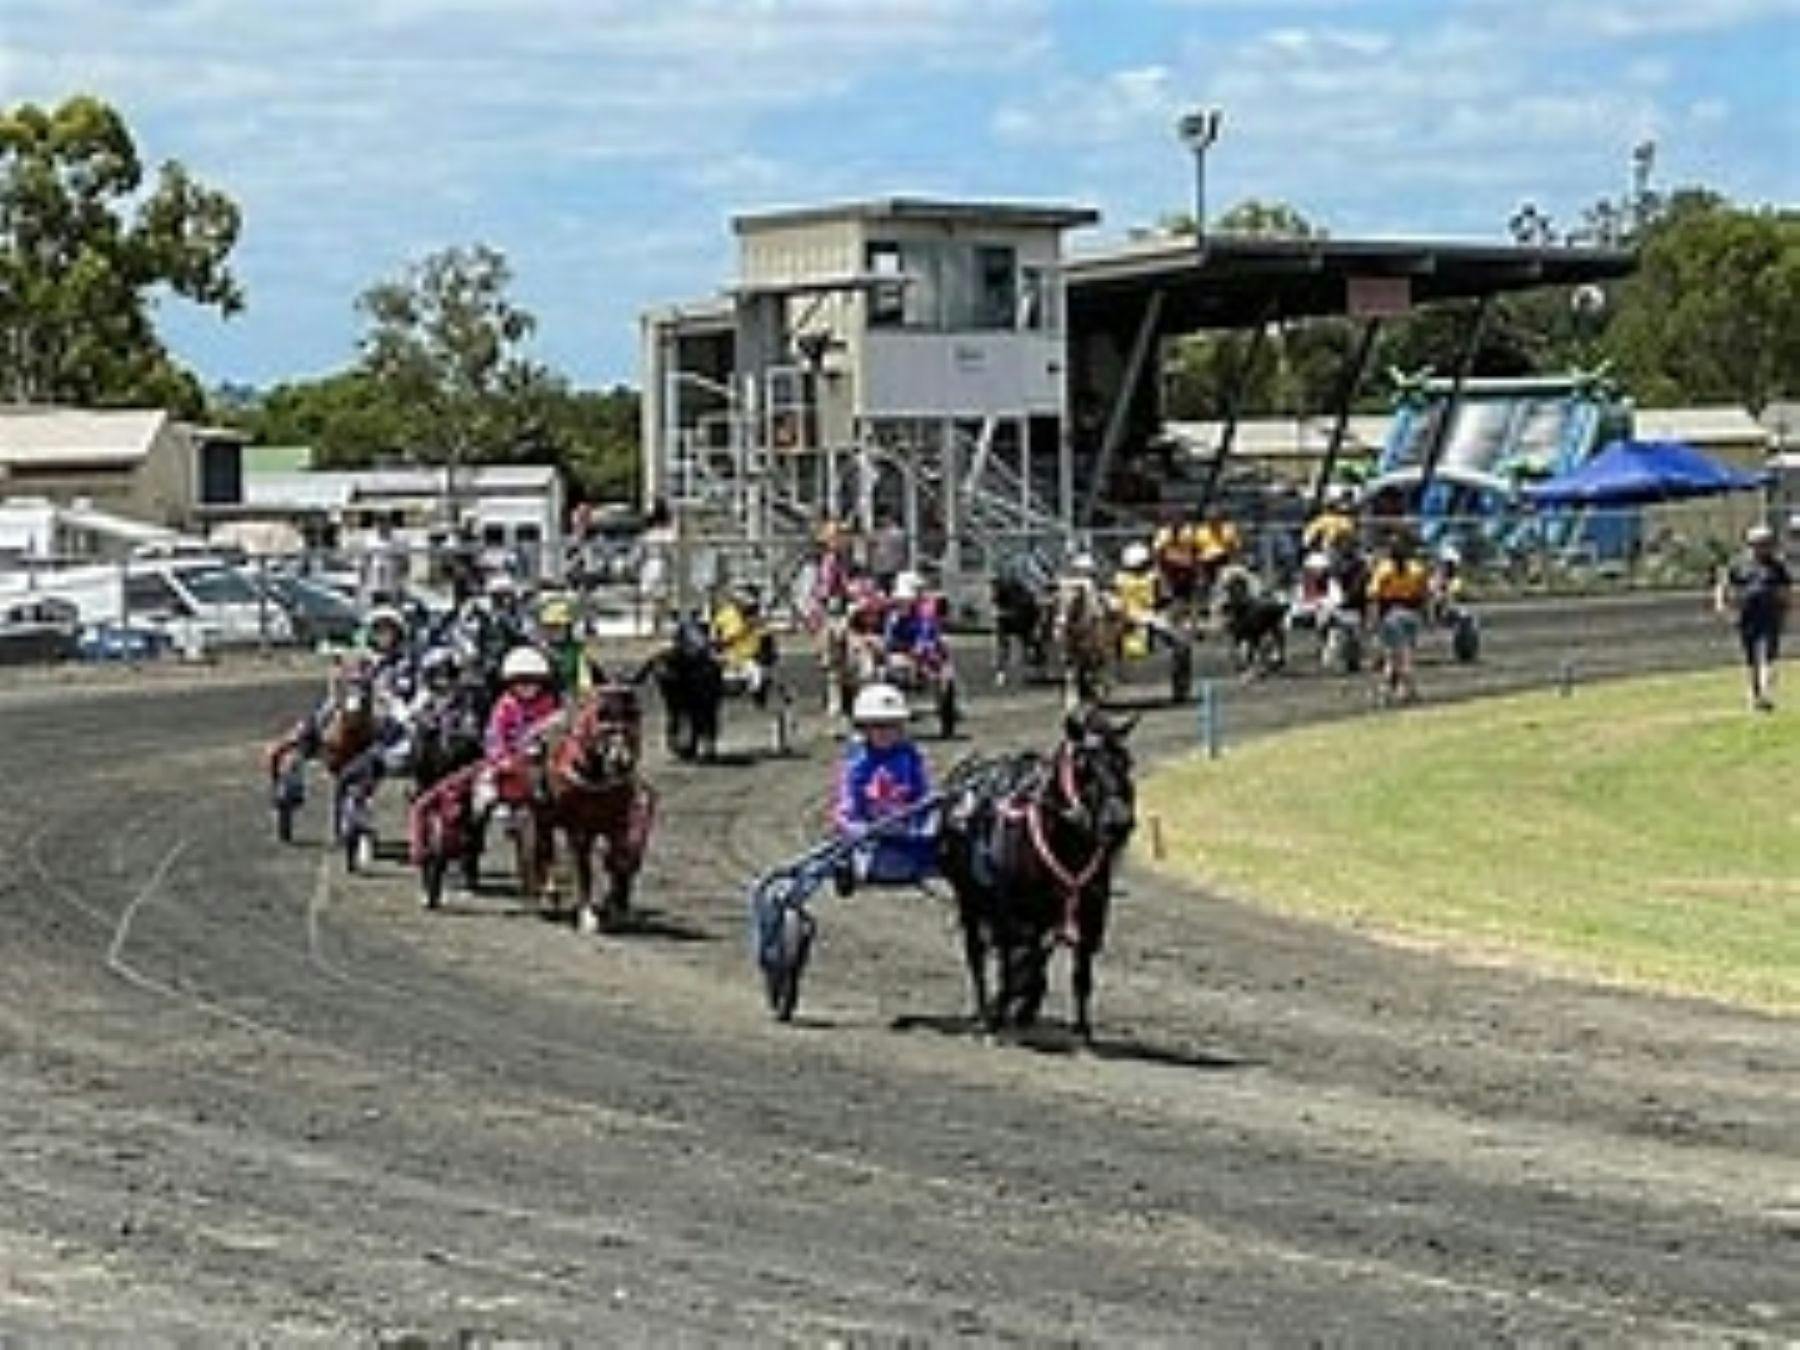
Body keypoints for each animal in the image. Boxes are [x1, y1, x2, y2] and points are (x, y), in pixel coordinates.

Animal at [530, 674, 657, 932]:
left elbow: (620, 857)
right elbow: (583, 867)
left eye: (635, 713)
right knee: (545, 846)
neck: (596, 774)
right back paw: (548, 893)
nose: (621, 761)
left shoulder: (619, 821)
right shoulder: (579, 827)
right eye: (602, 714)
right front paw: (587, 913)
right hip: (543, 813)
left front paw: (616, 908)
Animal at [937, 706, 1138, 1040]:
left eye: (1126, 762)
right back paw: (985, 1013)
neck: (1064, 842)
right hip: (970, 898)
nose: (1119, 822)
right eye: (1083, 766)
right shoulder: (1013, 912)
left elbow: (1078, 970)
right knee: (978, 953)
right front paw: (1002, 1013)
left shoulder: (1089, 910)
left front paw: (1081, 1028)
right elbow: (1018, 961)